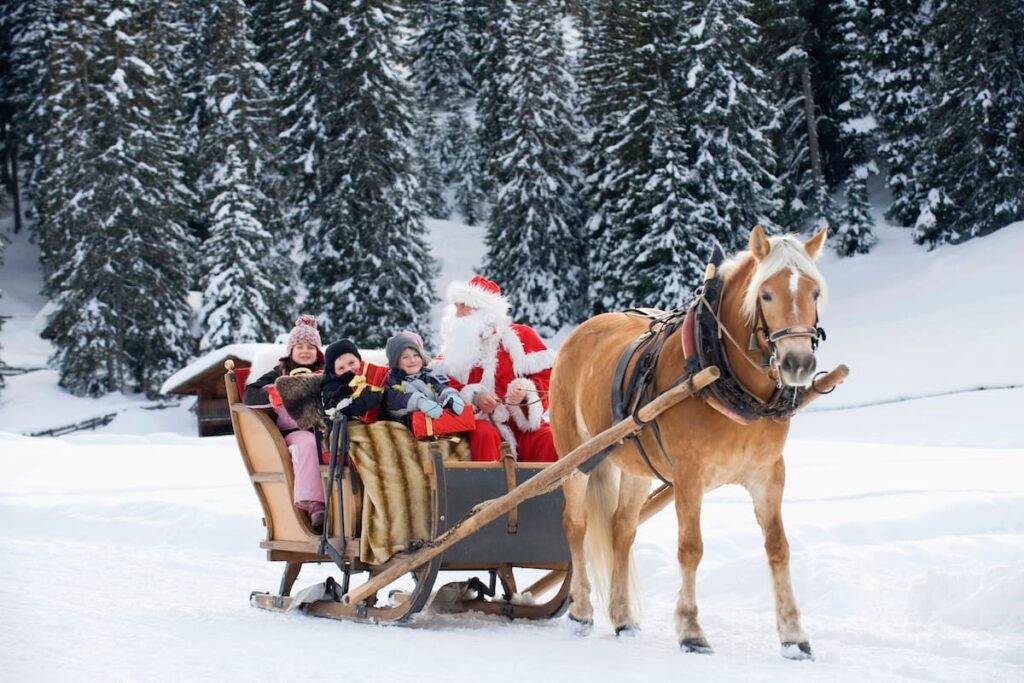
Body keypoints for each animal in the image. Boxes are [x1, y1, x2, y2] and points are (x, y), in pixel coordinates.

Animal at [548, 227, 827, 659]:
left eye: (814, 292)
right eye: (766, 294)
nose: (798, 363)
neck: (719, 369)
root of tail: (579, 332)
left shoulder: (768, 474)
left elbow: (778, 547)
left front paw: (794, 636)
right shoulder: (689, 477)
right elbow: (691, 548)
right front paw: (691, 631)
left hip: (635, 464)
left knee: (621, 529)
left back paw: (623, 617)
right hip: (576, 456)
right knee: (575, 525)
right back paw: (580, 611)